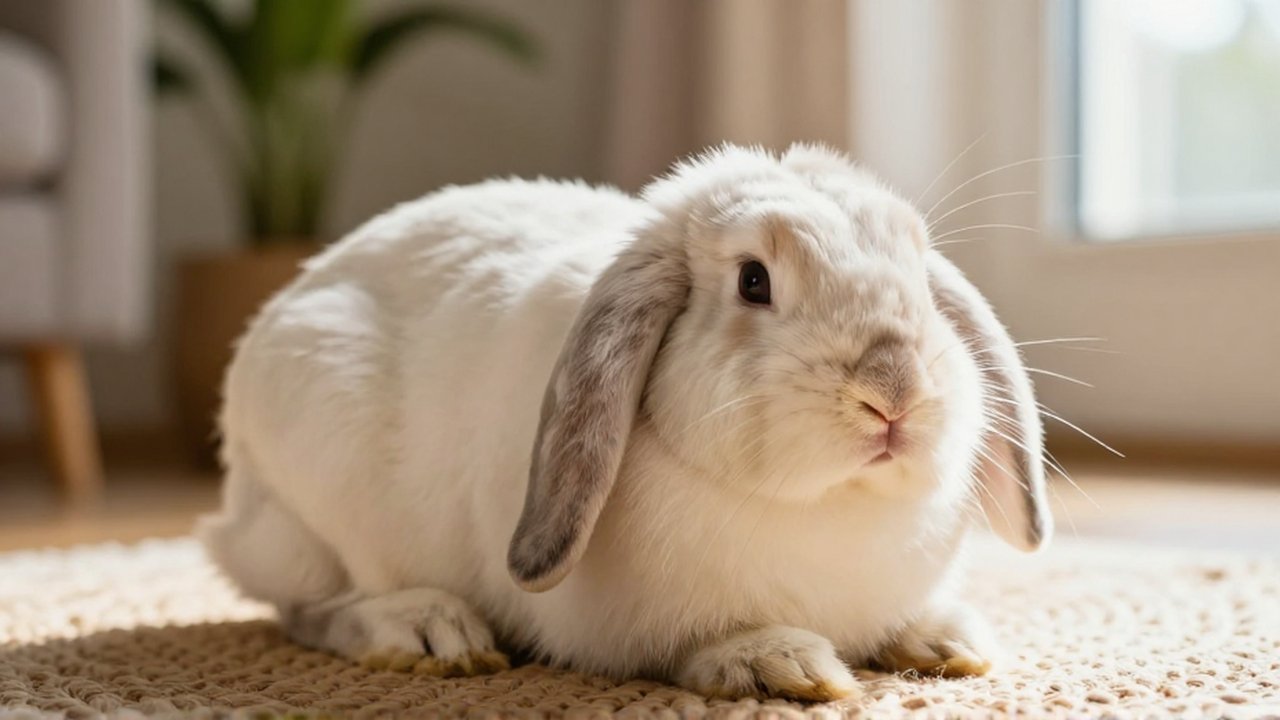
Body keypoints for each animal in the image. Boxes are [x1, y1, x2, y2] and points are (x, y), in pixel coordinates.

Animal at [198, 143, 1052, 702]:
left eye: (919, 278)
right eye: (753, 281)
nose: (893, 389)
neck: (830, 510)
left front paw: (952, 642)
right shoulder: (638, 629)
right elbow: (702, 645)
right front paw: (781, 665)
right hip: (319, 486)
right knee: (311, 607)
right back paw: (428, 632)